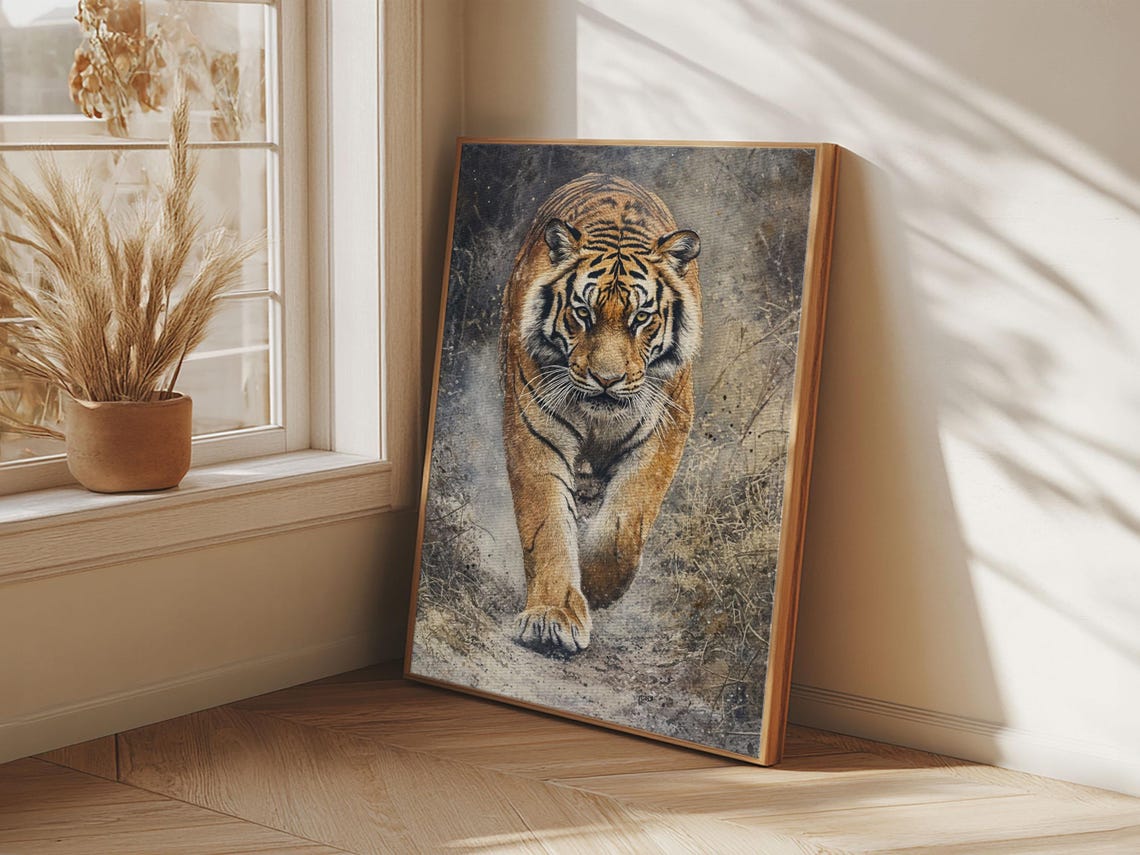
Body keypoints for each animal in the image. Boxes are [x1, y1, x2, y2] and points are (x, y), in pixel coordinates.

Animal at [499, 173, 702, 655]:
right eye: (583, 313)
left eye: (642, 317)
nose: (606, 379)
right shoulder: (534, 429)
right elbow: (547, 525)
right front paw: (552, 618)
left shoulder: (666, 428)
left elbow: (624, 526)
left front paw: (596, 586)